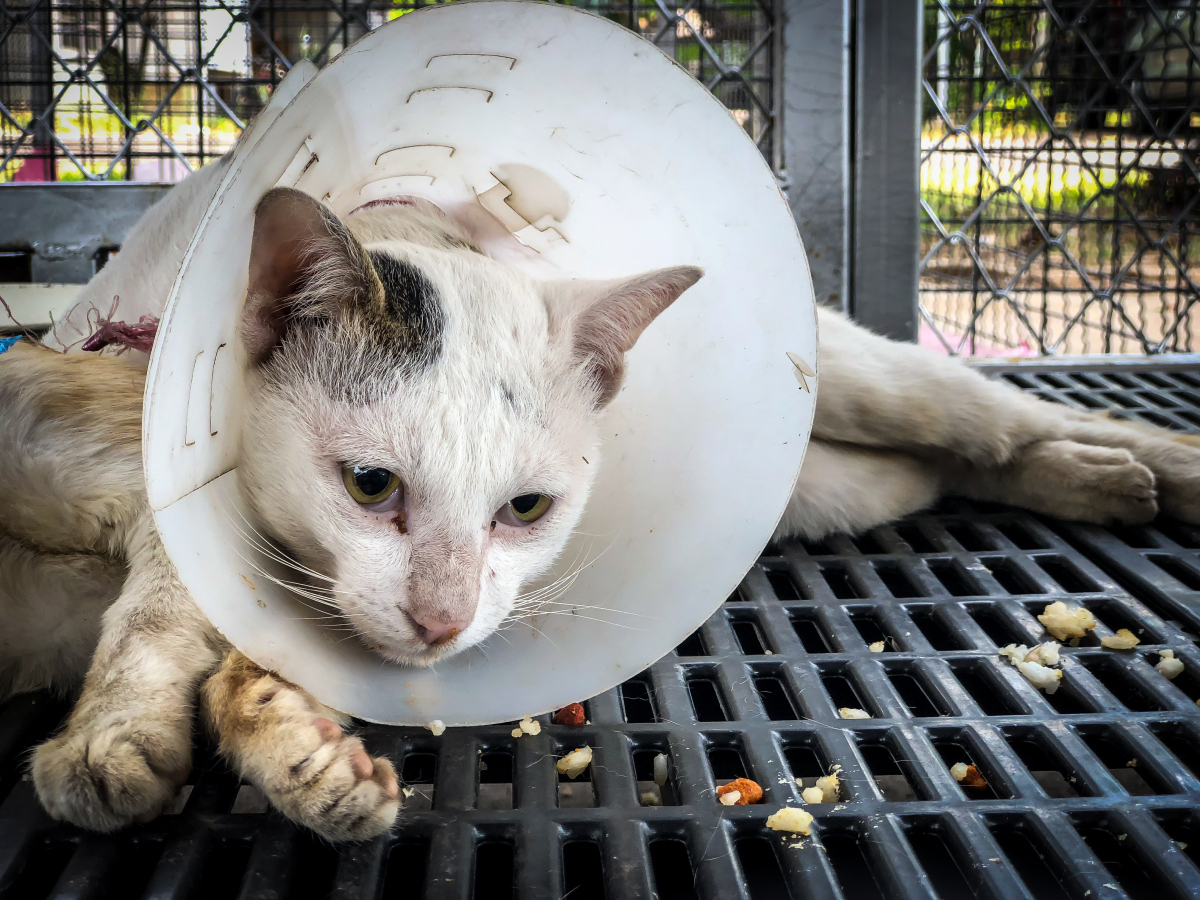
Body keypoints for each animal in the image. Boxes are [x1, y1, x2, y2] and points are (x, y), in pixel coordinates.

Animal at [2, 154, 1200, 844]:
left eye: (525, 509)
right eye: (371, 485)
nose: (442, 620)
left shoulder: (142, 488)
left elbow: (154, 622)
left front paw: (109, 743)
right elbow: (244, 665)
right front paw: (306, 763)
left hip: (873, 383)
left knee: (990, 416)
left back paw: (1145, 463)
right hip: (835, 483)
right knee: (953, 462)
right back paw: (1098, 479)